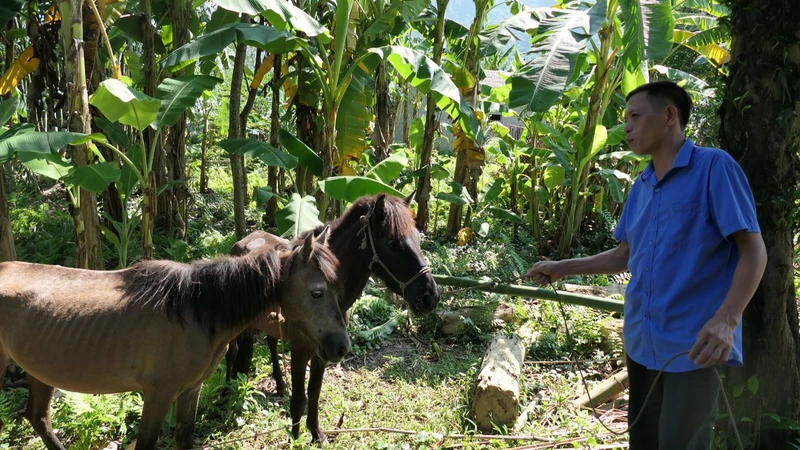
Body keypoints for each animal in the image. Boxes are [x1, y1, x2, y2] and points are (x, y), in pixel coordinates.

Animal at [0, 230, 350, 448]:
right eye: (317, 292)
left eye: (339, 289)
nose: (340, 347)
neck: (196, 310)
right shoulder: (158, 395)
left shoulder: (189, 390)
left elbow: (184, 438)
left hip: (40, 372)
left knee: (39, 419)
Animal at [223, 192, 438, 442]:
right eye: (393, 243)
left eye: (418, 239)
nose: (431, 297)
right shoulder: (300, 352)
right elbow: (299, 399)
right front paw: (295, 439)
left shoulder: (323, 353)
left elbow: (314, 393)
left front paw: (316, 434)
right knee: (234, 353)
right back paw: (227, 391)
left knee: (271, 343)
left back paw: (279, 383)